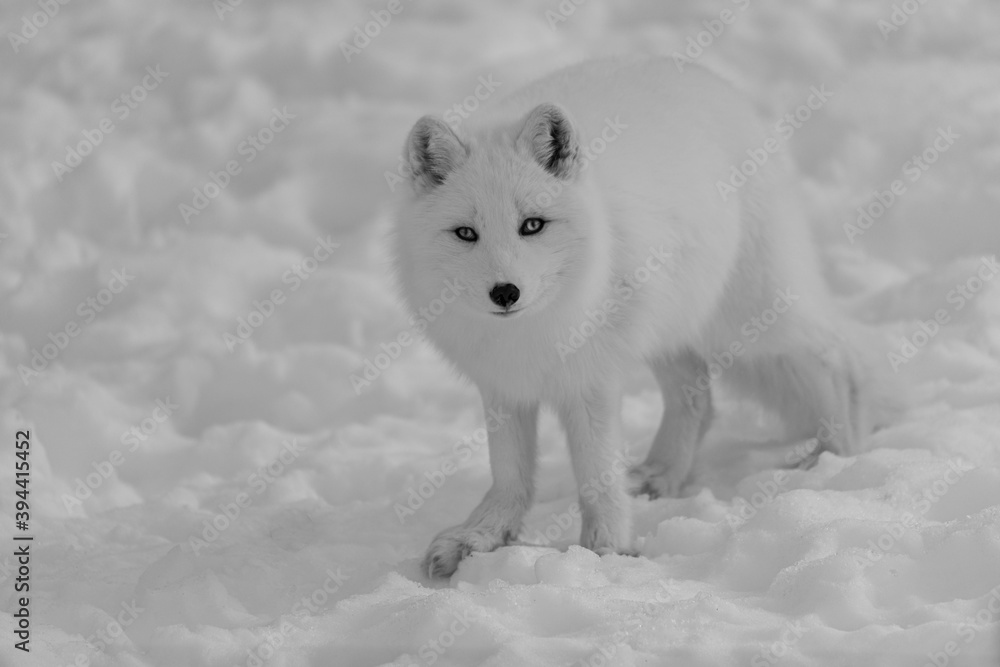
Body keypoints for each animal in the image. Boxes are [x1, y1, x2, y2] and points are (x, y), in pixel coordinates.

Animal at [390, 56, 884, 580]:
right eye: (466, 233)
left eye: (532, 225)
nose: (505, 292)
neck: (529, 333)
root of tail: (715, 83)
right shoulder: (503, 385)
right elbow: (509, 474)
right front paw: (482, 536)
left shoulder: (591, 381)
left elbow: (597, 475)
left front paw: (605, 553)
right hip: (669, 330)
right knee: (698, 397)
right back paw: (662, 474)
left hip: (752, 319)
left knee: (840, 356)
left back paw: (836, 453)